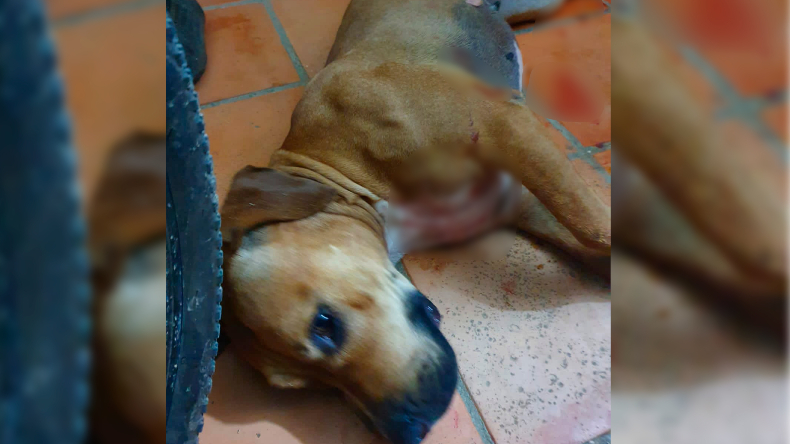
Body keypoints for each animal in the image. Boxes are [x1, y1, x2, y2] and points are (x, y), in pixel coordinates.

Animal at [219, 1, 611, 443]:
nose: (404, 433)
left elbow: (594, 227)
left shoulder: (503, 126)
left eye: (324, 325)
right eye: (314, 387)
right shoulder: (519, 202)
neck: (341, 171)